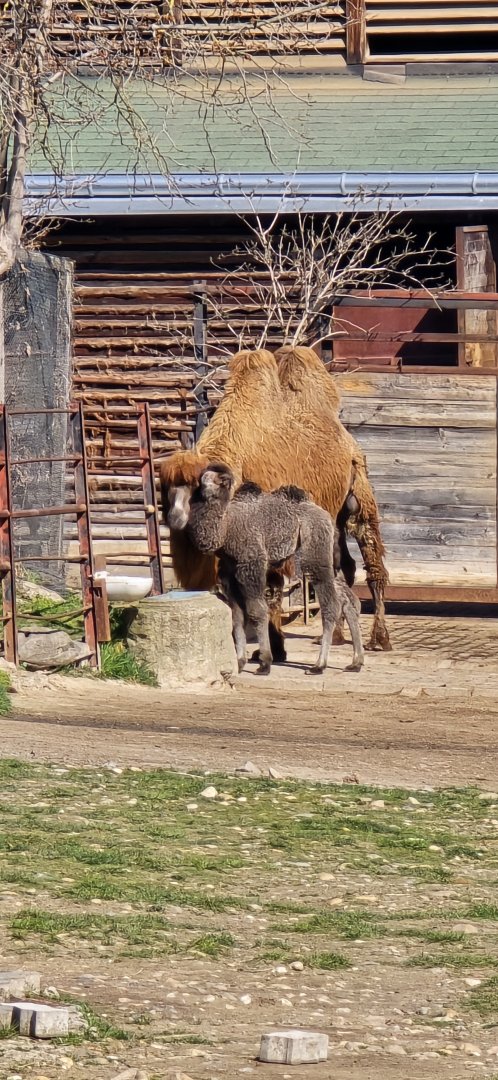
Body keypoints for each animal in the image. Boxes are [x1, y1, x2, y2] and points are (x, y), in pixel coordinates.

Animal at [160, 347, 391, 655]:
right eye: (166, 489)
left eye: (197, 491)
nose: (175, 519)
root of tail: (346, 439)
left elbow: (270, 589)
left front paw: (274, 648)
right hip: (330, 516)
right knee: (343, 566)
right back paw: (337, 635)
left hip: (358, 493)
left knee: (371, 559)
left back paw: (380, 638)